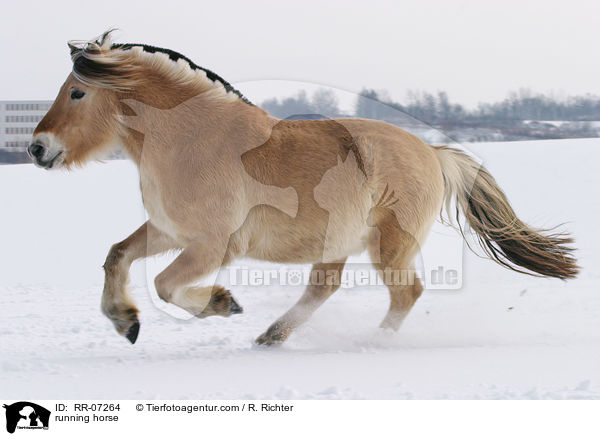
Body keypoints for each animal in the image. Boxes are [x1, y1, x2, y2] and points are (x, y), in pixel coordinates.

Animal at [28, 30, 576, 346]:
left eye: (76, 93)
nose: (37, 148)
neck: (191, 139)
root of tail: (433, 153)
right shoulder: (168, 230)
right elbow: (116, 255)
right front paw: (126, 322)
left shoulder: (212, 245)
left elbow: (164, 285)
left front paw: (221, 303)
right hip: (337, 243)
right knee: (325, 288)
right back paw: (270, 337)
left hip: (390, 245)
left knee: (407, 292)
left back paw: (372, 343)